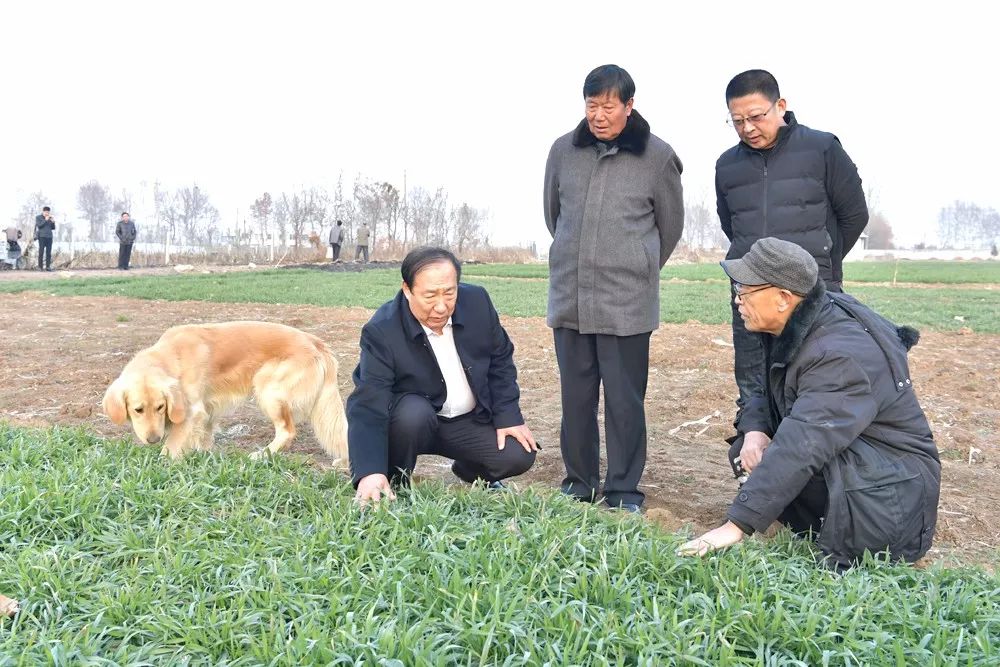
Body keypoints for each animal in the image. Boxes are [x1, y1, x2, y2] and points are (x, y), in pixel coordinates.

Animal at [102, 322, 348, 460]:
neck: (172, 356)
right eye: (138, 410)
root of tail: (317, 343)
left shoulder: (193, 411)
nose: (153, 439)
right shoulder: (208, 410)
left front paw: (163, 463)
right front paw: (202, 455)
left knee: (287, 431)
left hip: (268, 388)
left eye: (160, 407)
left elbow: (173, 443)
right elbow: (203, 438)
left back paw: (260, 455)